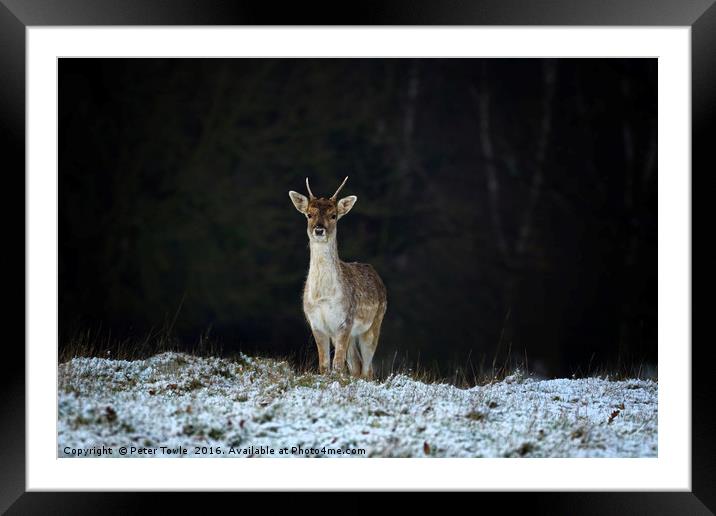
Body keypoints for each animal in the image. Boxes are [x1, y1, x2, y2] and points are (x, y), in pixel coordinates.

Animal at [288, 175, 386, 376]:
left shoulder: (344, 321)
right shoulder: (317, 323)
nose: (319, 230)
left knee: (367, 369)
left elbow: (338, 365)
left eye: (333, 215)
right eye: (309, 214)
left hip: (374, 324)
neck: (324, 297)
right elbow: (324, 365)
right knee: (356, 364)